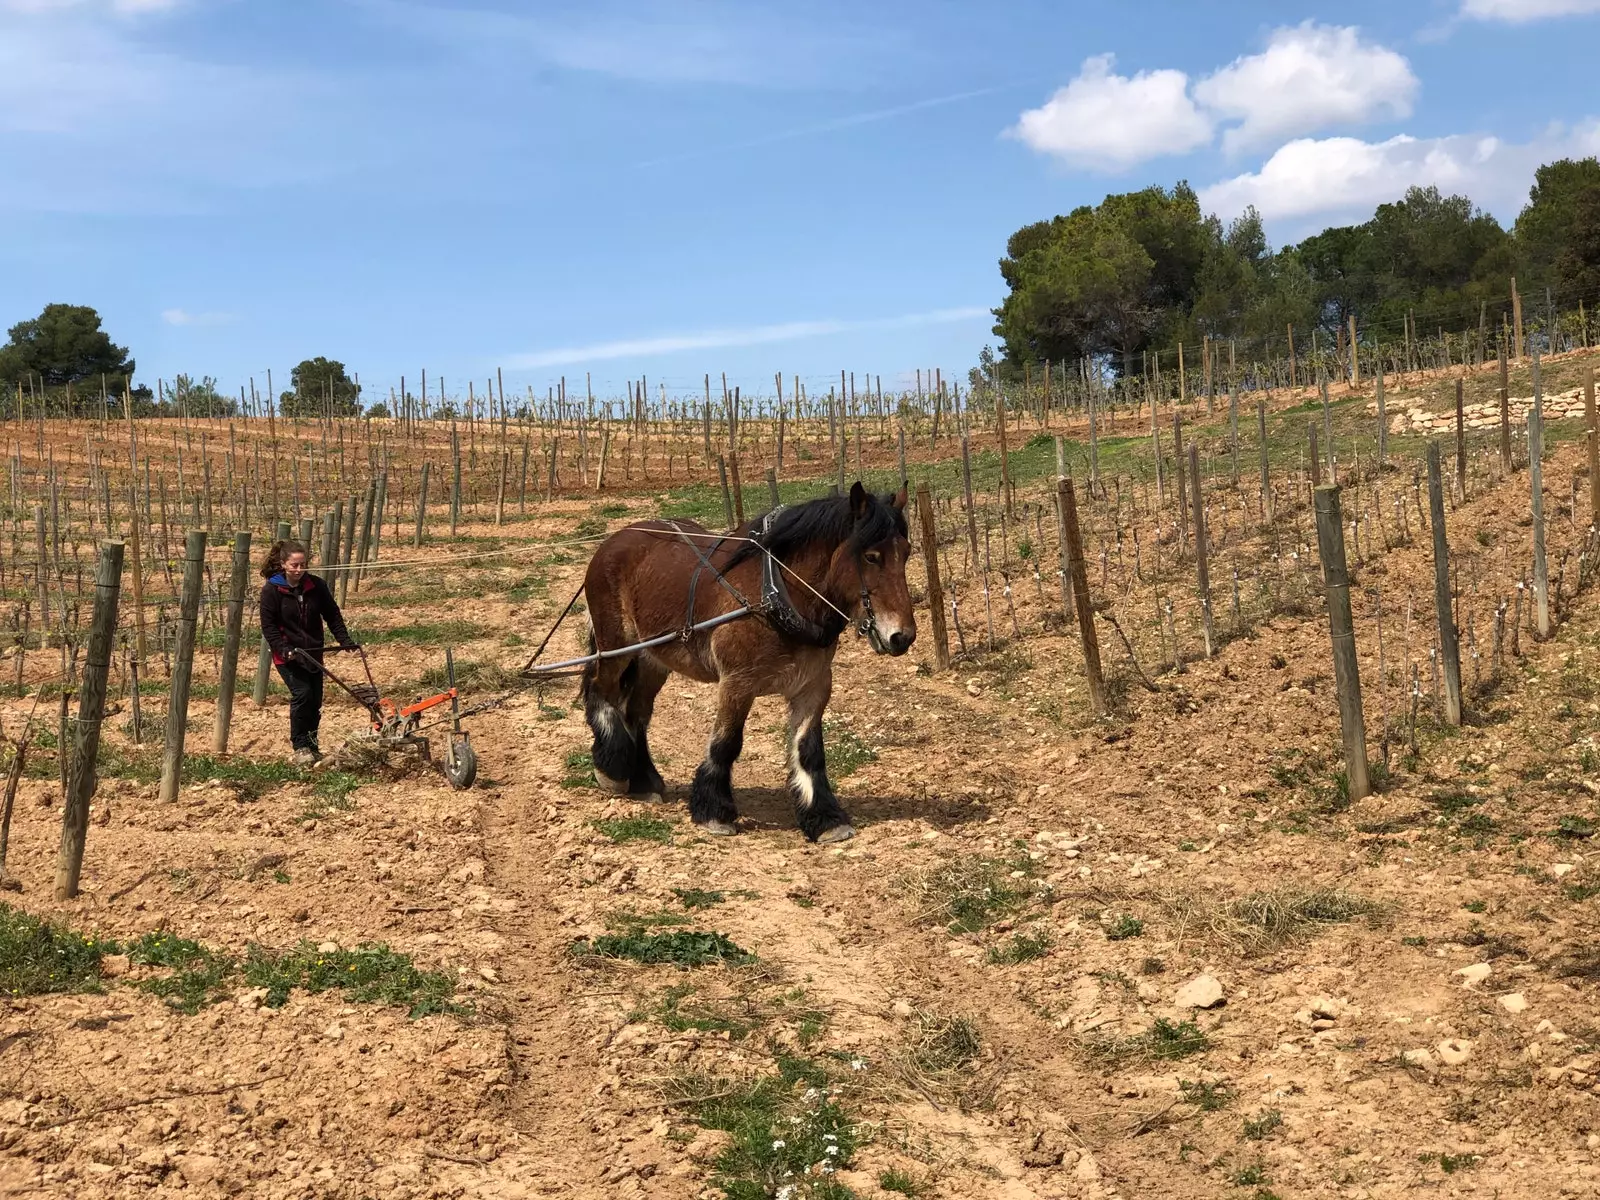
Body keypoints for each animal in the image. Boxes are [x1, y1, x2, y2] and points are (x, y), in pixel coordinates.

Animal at [582, 483, 921, 844]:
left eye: (907, 553)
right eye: (871, 556)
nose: (902, 636)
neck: (777, 592)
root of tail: (615, 539)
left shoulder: (814, 686)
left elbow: (809, 750)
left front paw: (825, 818)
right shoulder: (737, 683)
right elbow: (726, 743)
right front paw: (714, 812)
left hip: (654, 659)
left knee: (637, 712)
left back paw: (644, 781)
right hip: (617, 646)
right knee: (600, 690)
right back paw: (612, 770)